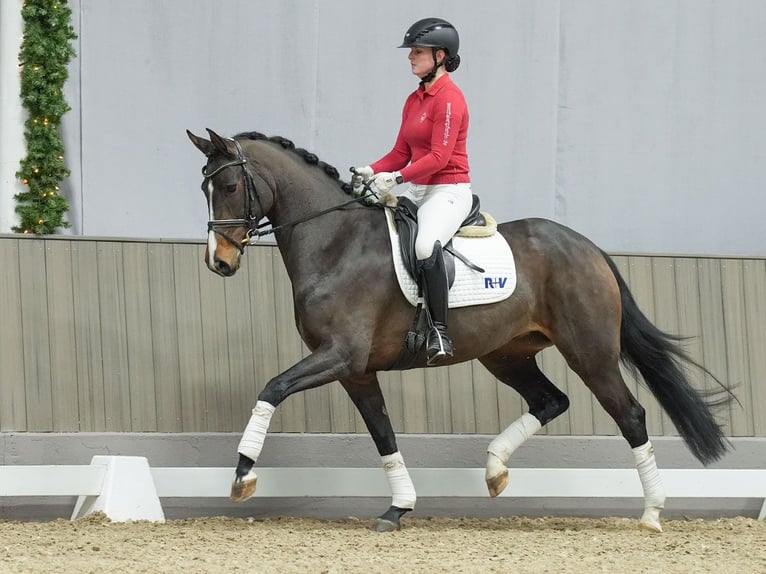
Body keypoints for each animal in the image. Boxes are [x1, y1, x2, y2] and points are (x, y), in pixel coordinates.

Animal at [189, 128, 736, 532]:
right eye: (204, 188)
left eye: (231, 187)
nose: (219, 262)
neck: (335, 242)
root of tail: (587, 246)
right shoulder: (355, 370)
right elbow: (382, 433)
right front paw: (399, 507)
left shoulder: (340, 355)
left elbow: (272, 387)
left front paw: (243, 474)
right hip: (506, 354)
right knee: (550, 400)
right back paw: (495, 468)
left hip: (590, 352)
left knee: (631, 415)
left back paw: (652, 513)